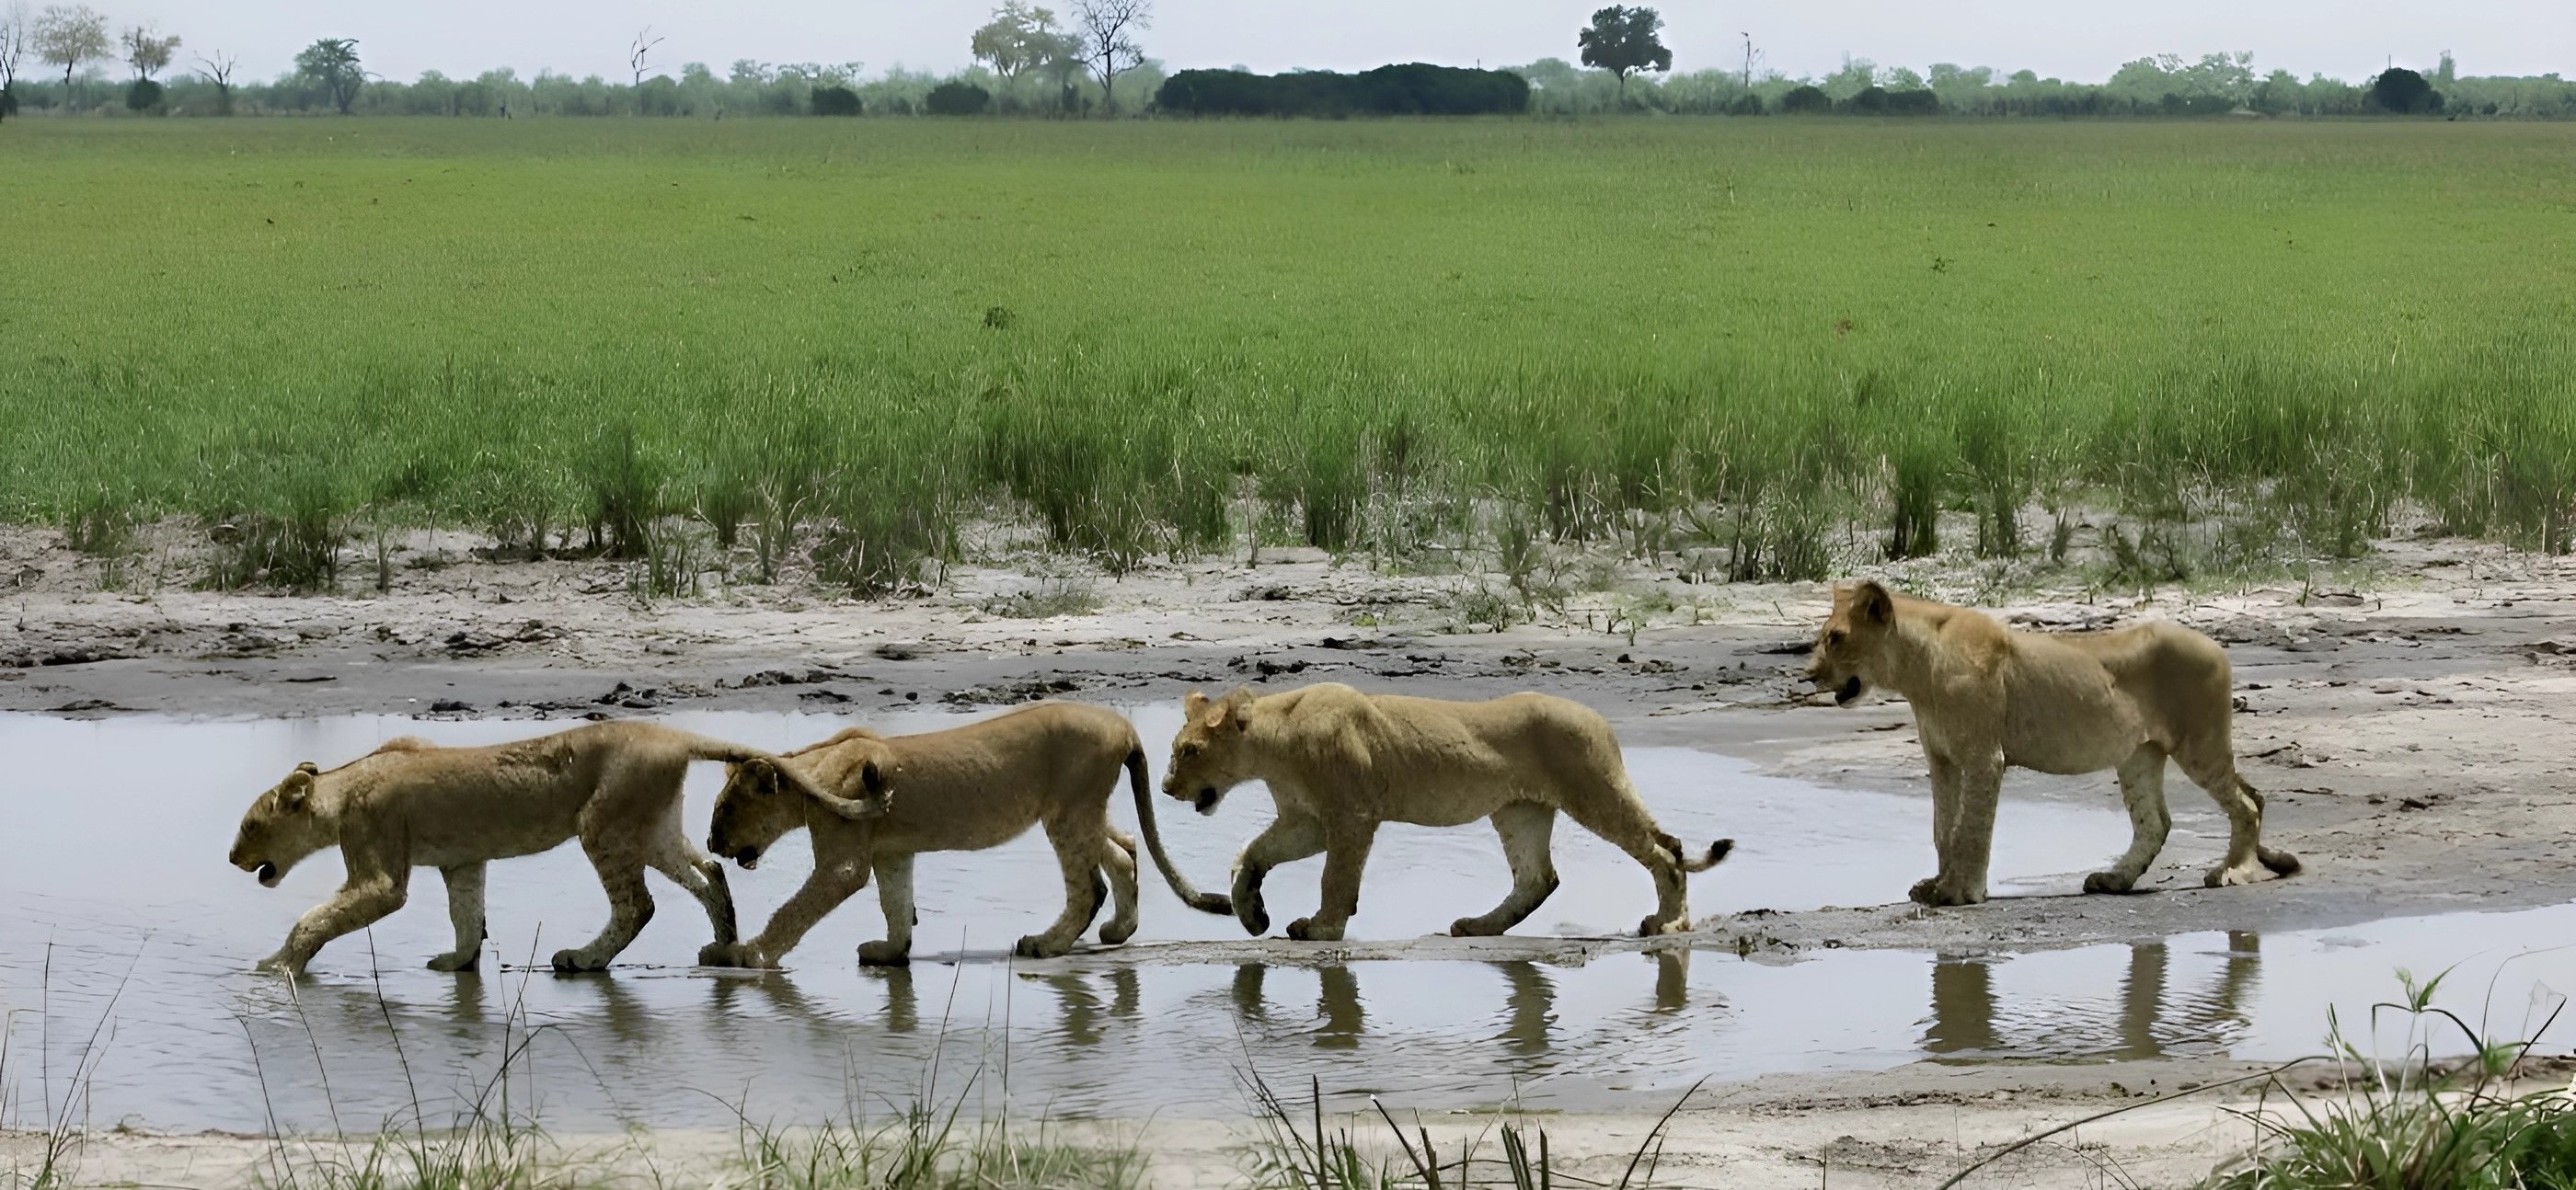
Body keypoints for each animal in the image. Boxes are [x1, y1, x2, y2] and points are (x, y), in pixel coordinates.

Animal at [227, 721, 865, 976]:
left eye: (251, 825)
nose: (232, 859)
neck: (343, 787)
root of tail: (673, 734)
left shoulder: (380, 874)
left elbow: (315, 918)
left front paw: (276, 965)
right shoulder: (463, 861)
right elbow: (467, 915)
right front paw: (459, 963)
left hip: (603, 824)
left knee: (638, 905)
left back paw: (582, 960)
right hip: (652, 828)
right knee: (710, 870)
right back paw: (724, 944)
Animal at [699, 701, 1230, 969]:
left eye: (725, 808)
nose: (710, 844)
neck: (811, 771)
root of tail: (1124, 726)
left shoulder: (843, 864)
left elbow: (793, 910)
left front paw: (745, 954)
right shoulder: (892, 853)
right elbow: (896, 903)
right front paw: (890, 953)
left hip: (1068, 811)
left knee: (1089, 886)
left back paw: (1045, 944)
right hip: (1079, 812)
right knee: (1124, 850)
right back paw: (1118, 931)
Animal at [1161, 683, 1732, 942]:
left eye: (1190, 751)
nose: (1166, 788)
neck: (1274, 743)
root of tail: (1601, 720)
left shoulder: (1350, 817)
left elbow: (1336, 878)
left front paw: (1322, 928)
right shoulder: (1307, 821)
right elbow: (1250, 853)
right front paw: (1251, 911)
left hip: (1593, 791)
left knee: (1666, 849)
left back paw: (1669, 922)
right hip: (1520, 810)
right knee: (1538, 878)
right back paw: (1479, 926)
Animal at [1806, 580, 2302, 907]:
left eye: (1836, 637)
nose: (1810, 675)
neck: (1915, 670)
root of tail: (2215, 644)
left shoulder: (1984, 756)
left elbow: (1971, 829)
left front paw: (1960, 893)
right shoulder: (1942, 758)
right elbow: (1942, 828)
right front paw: (1935, 885)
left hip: (2200, 743)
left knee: (2247, 803)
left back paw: (2233, 872)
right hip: (2139, 755)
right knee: (2157, 822)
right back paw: (2114, 880)